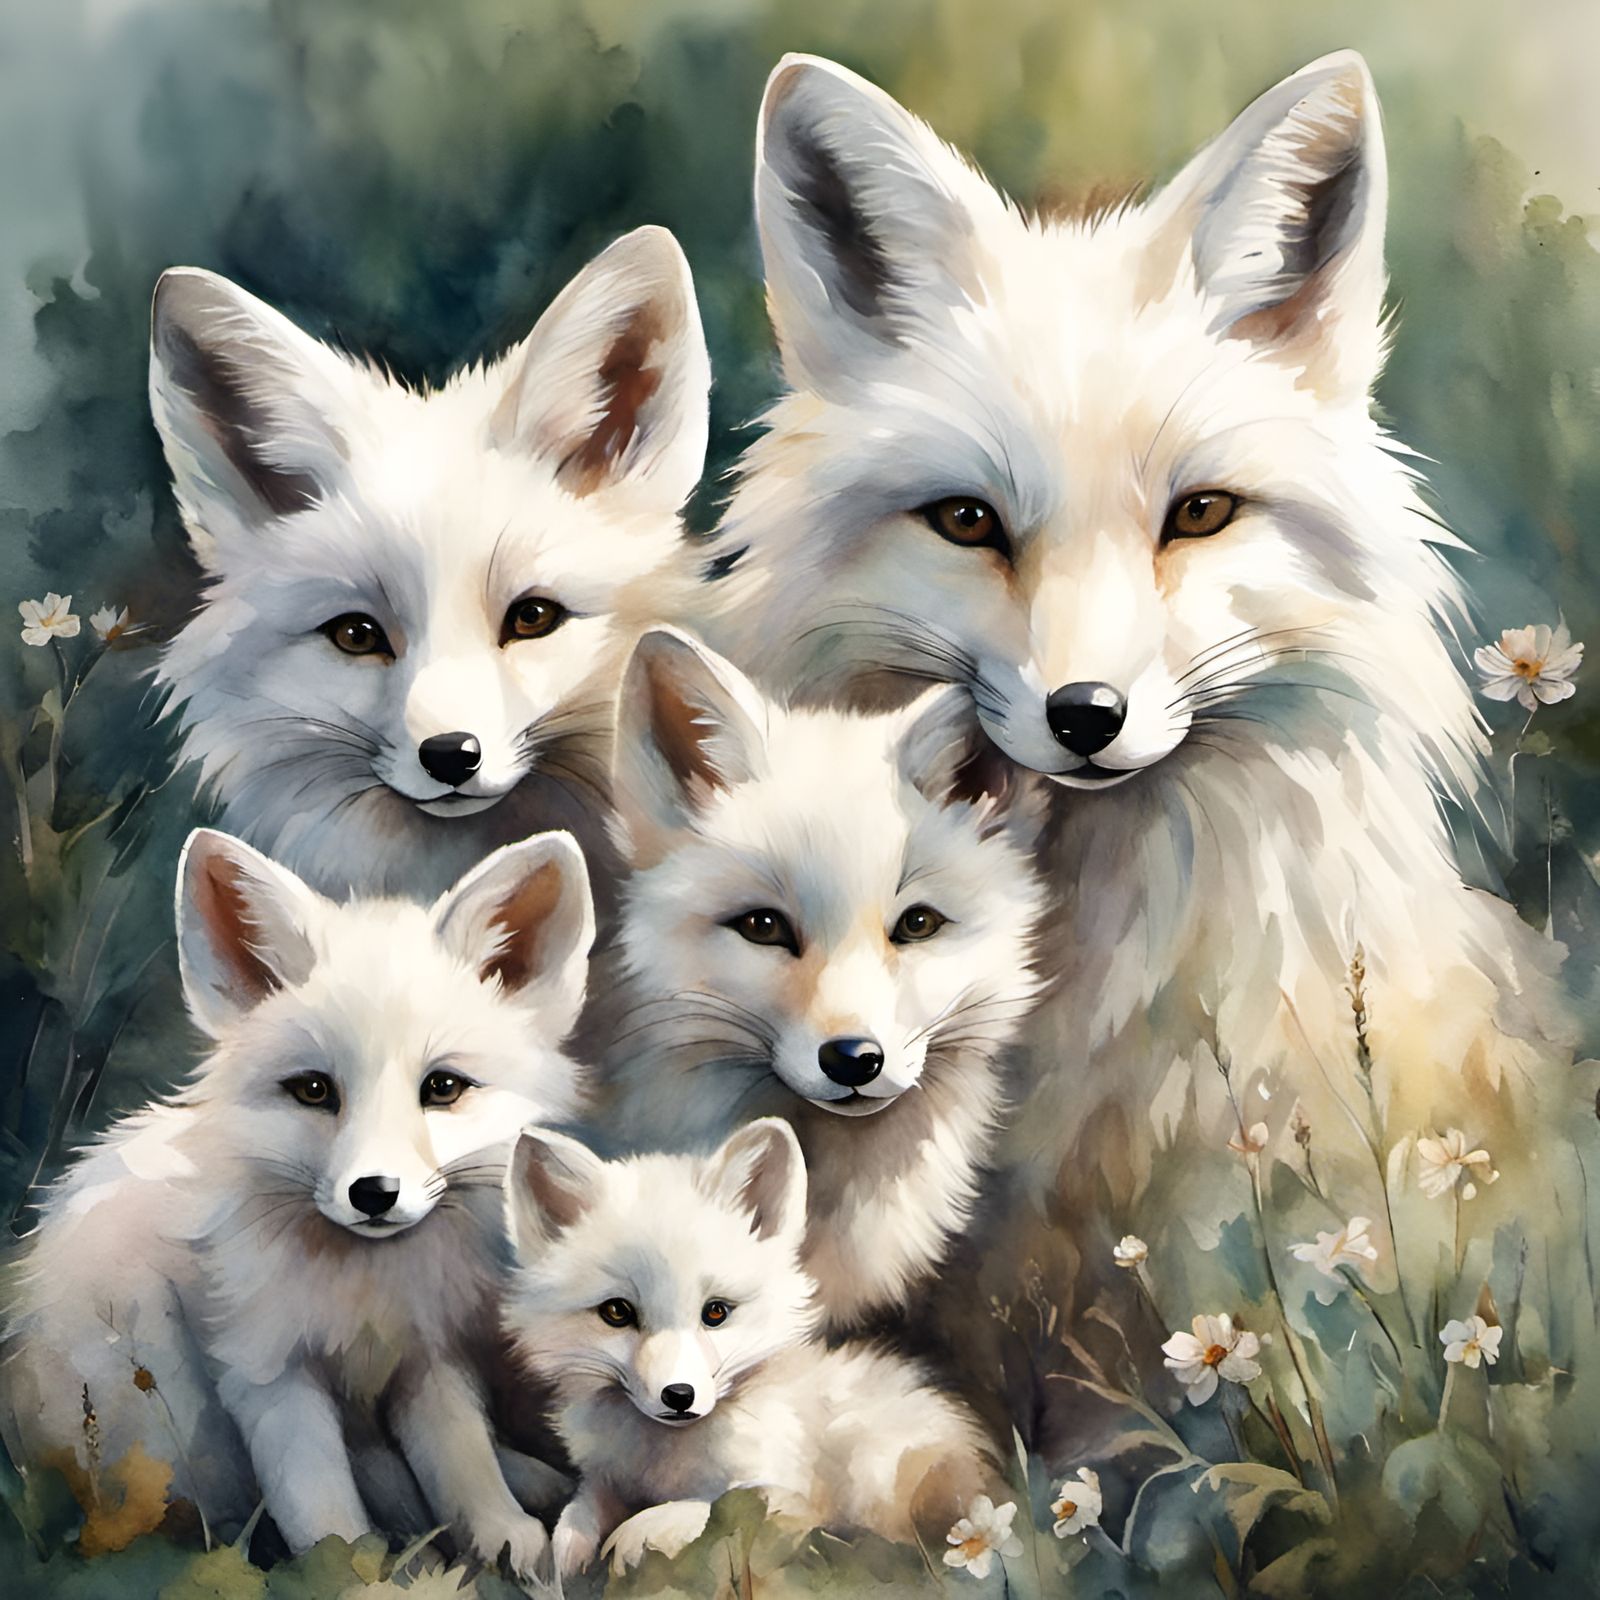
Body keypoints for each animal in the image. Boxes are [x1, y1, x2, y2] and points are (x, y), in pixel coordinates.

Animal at [1, 826, 594, 1579]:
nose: (374, 1194)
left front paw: (499, 1533)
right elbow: (321, 1506)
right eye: (313, 1090)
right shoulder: (267, 1375)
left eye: (443, 1088)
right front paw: (350, 1575)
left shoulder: (427, 1357)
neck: (364, 1296)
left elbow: (460, 1457)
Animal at [501, 1117, 997, 1577]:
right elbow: (577, 1513)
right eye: (617, 1313)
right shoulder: (606, 1477)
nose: (678, 1397)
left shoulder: (786, 1497)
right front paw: (566, 1559)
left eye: (716, 1312)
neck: (666, 1462)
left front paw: (635, 1537)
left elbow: (704, 1508)